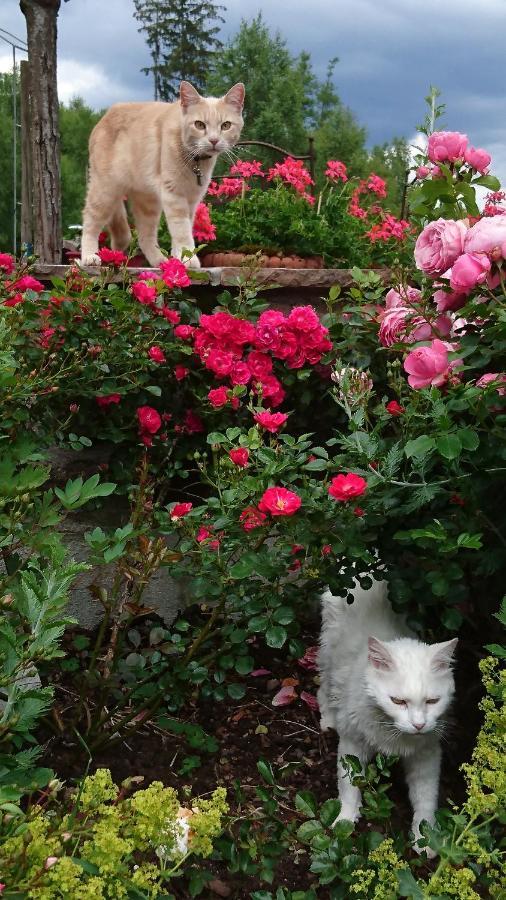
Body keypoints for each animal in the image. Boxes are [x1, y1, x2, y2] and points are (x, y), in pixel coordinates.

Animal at [80, 81, 244, 268]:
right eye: (200, 124)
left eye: (226, 125)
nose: (214, 140)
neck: (195, 160)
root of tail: (106, 115)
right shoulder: (174, 195)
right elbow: (182, 230)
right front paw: (188, 259)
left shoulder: (192, 200)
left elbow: (184, 229)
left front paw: (178, 259)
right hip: (105, 190)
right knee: (90, 221)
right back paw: (89, 256)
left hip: (147, 202)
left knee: (145, 237)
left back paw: (160, 262)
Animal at [320, 576, 458, 856]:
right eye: (398, 701)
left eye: (432, 701)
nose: (418, 724)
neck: (392, 732)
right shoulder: (352, 745)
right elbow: (349, 786)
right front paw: (345, 820)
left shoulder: (427, 754)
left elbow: (425, 798)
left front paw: (424, 837)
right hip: (328, 652)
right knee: (323, 684)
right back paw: (328, 718)